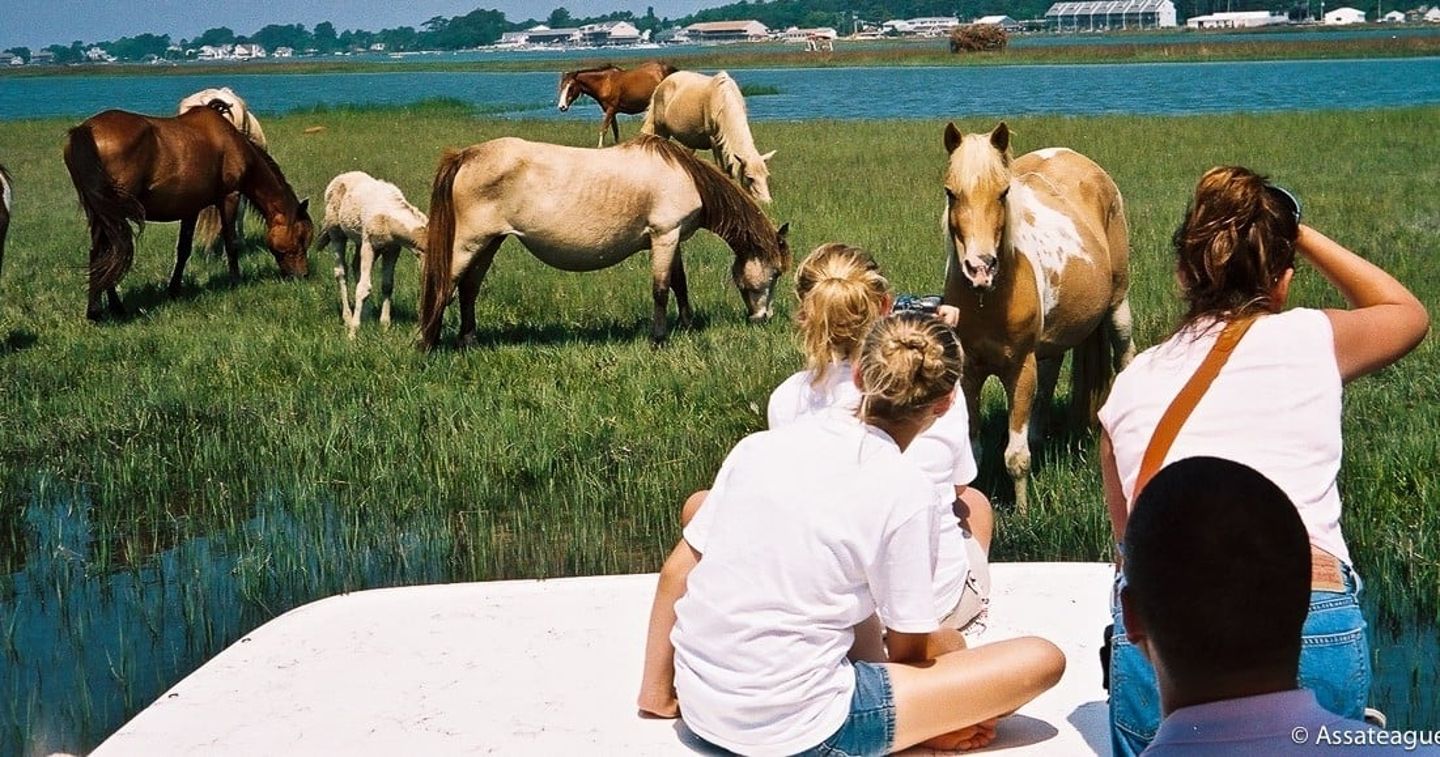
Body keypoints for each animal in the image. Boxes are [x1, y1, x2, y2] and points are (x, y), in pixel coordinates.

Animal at [63, 107, 312, 321]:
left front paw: (174, 290)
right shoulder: (229, 197)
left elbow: (183, 250)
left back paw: (107, 308)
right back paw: (103, 310)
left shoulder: (190, 209)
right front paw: (236, 282)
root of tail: (86, 129)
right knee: (109, 252)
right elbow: (231, 243)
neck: (231, 142)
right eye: (300, 238)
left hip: (100, 212)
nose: (303, 276)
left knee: (104, 253)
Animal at [316, 171, 428, 338]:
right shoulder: (369, 246)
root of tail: (342, 176)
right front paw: (353, 333)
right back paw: (348, 318)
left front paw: (385, 325)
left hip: (359, 241)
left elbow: (387, 285)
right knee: (341, 272)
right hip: (336, 232)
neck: (387, 217)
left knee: (356, 266)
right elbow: (363, 288)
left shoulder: (392, 250)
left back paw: (366, 315)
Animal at [418, 135, 790, 350]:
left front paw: (686, 325)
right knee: (445, 285)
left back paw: (468, 340)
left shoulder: (672, 239)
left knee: (469, 289)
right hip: (468, 243)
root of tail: (466, 155)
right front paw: (658, 339)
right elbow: (661, 289)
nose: (763, 317)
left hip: (490, 242)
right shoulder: (665, 236)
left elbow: (679, 284)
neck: (686, 176)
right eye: (774, 274)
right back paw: (427, 343)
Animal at [641, 71, 776, 204]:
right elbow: (720, 166)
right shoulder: (714, 139)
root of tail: (662, 84)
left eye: (767, 175)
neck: (724, 99)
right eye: (749, 178)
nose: (766, 202)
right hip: (660, 129)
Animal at [942, 122, 1134, 511]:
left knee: (1124, 354)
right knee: (1047, 382)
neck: (987, 300)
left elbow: (1015, 457)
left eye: (1003, 193)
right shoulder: (969, 372)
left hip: (1118, 305)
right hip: (1052, 341)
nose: (980, 268)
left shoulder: (1020, 367)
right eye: (951, 193)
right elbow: (974, 450)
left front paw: (1023, 513)